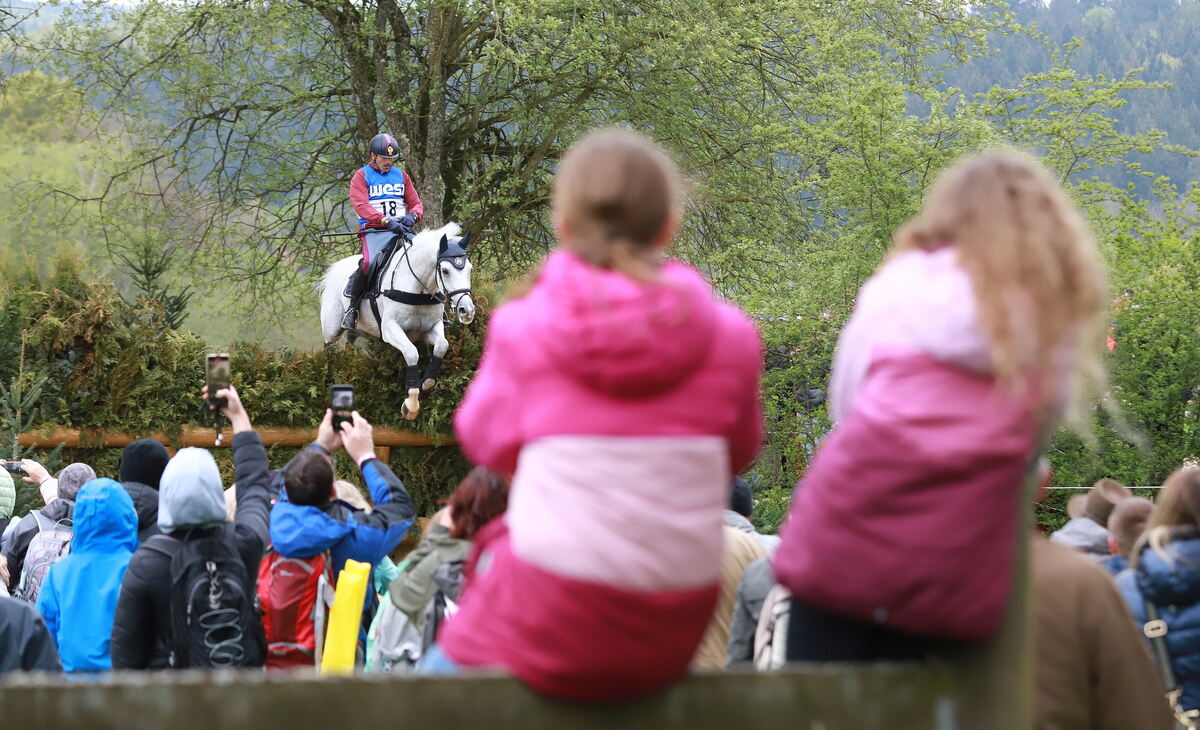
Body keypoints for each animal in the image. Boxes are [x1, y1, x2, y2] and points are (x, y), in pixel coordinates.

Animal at [319, 222, 475, 420]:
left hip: (357, 332)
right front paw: (411, 404)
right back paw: (329, 382)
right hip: (332, 330)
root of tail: (336, 269)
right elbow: (411, 353)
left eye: (470, 269)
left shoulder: (430, 328)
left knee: (349, 346)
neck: (417, 289)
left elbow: (442, 346)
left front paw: (427, 381)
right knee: (329, 350)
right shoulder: (390, 329)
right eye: (445, 271)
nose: (467, 311)